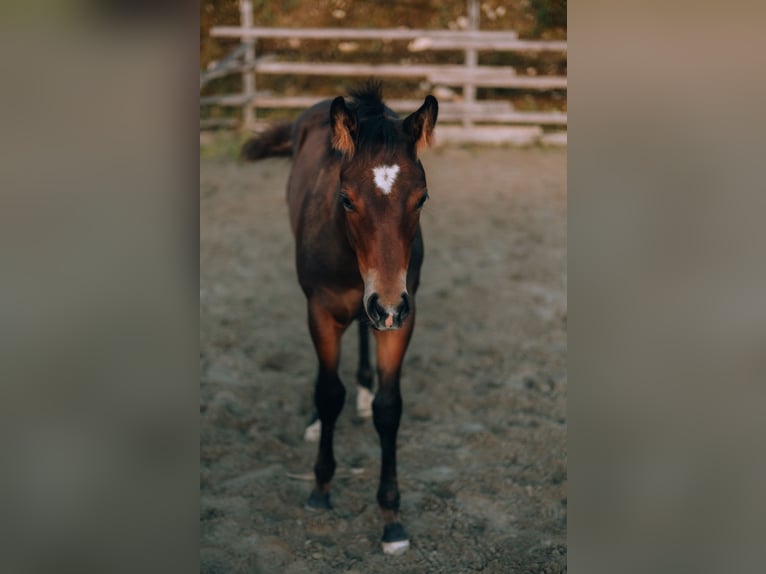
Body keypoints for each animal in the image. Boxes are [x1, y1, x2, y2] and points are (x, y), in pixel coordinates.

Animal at [243, 82, 440, 560]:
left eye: (421, 198)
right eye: (347, 198)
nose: (386, 303)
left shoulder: (404, 313)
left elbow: (390, 409)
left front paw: (391, 520)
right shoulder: (322, 311)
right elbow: (329, 392)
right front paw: (321, 488)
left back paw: (365, 385)